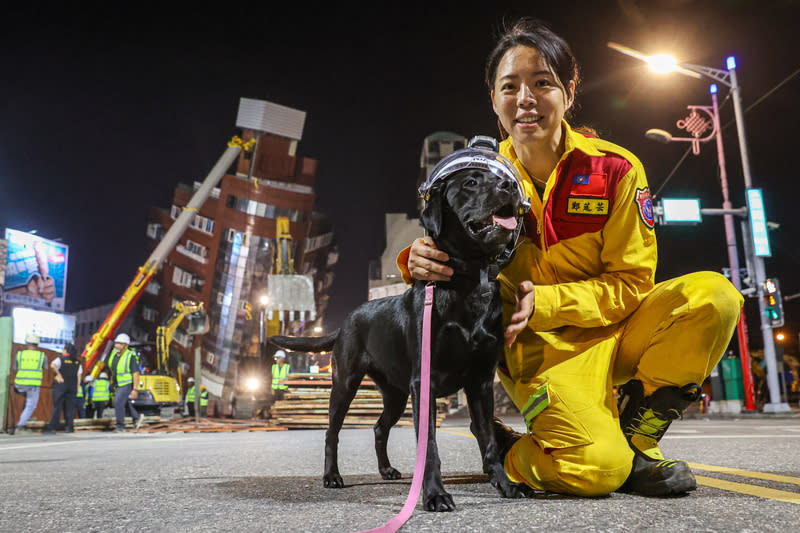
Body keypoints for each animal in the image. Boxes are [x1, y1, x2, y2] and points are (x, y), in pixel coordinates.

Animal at [270, 141, 532, 512]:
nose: (509, 186)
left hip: (394, 393)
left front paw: (506, 485)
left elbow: (489, 442)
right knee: (332, 432)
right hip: (345, 384)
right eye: (470, 183)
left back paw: (386, 470)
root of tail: (348, 320)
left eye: (499, 179)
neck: (469, 280)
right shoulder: (425, 383)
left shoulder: (480, 382)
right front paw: (435, 495)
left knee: (379, 428)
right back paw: (332, 476)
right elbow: (430, 446)